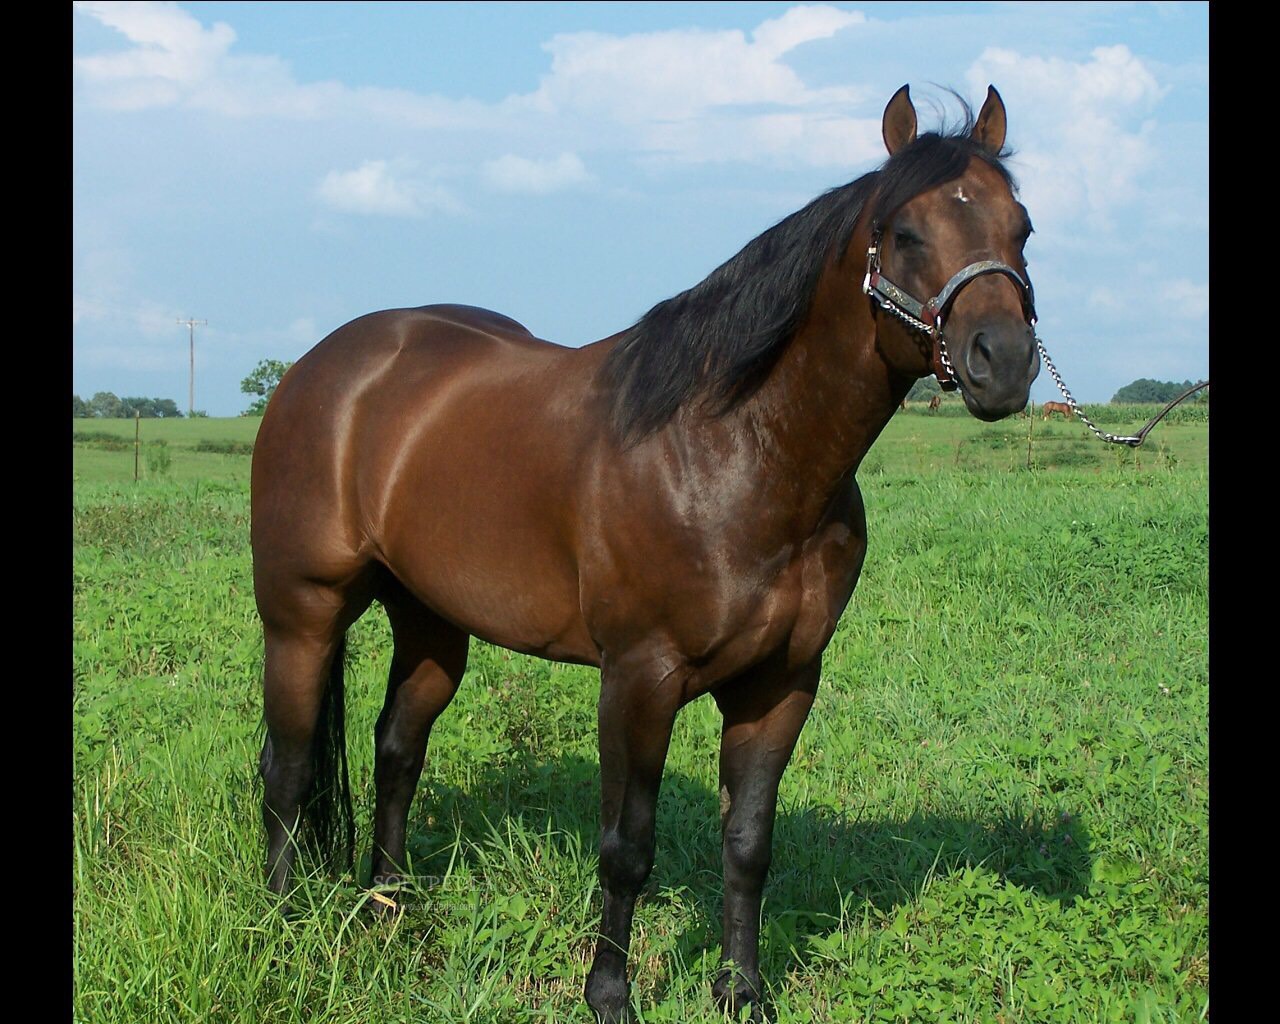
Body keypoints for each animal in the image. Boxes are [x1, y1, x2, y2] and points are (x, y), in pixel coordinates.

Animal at [251, 83, 1039, 1023]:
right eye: (906, 231)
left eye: (1022, 227)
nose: (1005, 362)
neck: (736, 451)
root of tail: (321, 368)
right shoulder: (639, 680)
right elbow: (626, 847)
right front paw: (610, 997)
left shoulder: (780, 683)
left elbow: (748, 843)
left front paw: (743, 992)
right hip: (302, 612)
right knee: (288, 768)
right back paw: (283, 926)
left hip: (432, 623)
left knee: (396, 750)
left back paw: (388, 907)